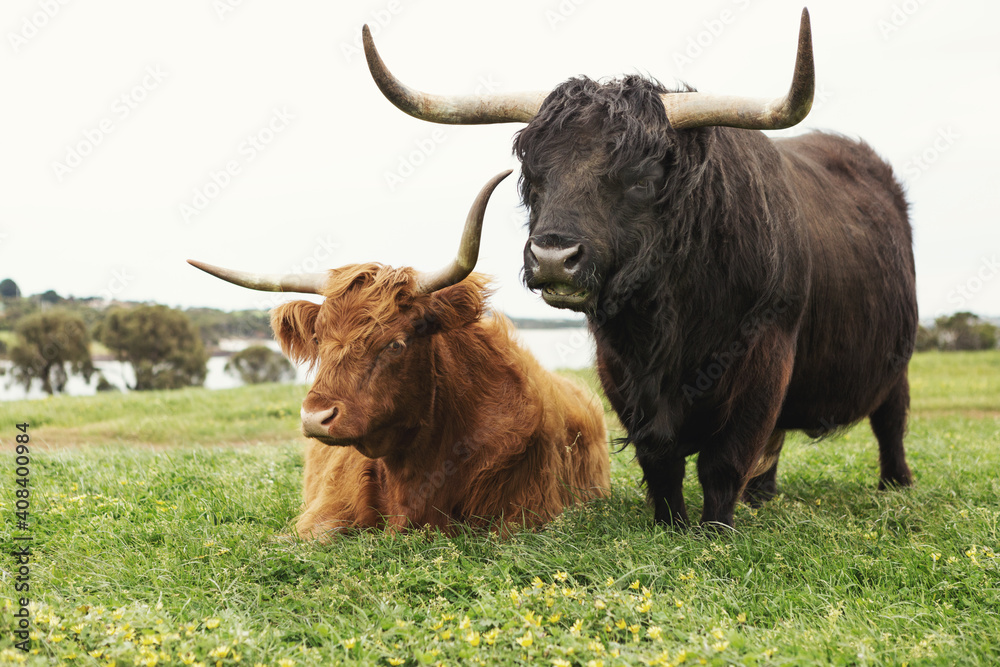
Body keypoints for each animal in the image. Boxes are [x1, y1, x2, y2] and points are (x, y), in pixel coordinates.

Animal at [362, 9, 918, 529]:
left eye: (640, 179)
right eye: (534, 174)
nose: (553, 257)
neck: (669, 319)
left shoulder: (764, 359)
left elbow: (723, 461)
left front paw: (715, 531)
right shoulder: (619, 367)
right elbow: (660, 459)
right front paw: (670, 525)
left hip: (899, 358)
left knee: (890, 421)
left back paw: (896, 485)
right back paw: (763, 495)